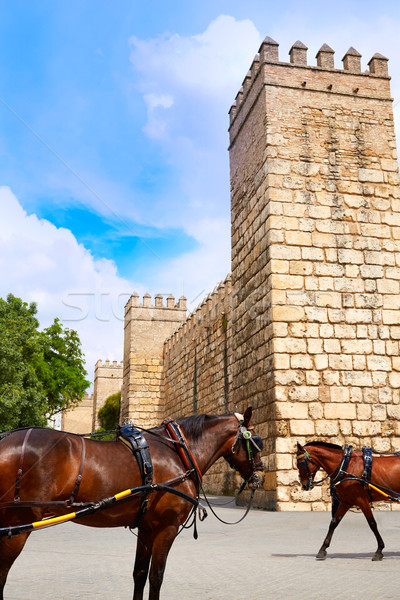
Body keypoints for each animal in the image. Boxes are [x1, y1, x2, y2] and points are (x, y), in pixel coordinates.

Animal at [0, 410, 262, 596]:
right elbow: (156, 577)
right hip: (18, 525)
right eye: (256, 440)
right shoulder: (167, 527)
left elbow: (140, 574)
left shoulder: (147, 527)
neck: (178, 451)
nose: (259, 474)